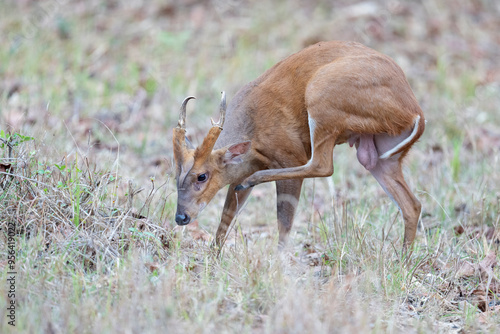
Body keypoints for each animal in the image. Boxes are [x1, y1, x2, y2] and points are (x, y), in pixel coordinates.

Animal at [171, 40, 422, 250]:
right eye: (176, 175)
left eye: (202, 176)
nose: (181, 217)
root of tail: (414, 111)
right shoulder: (238, 173)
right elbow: (226, 217)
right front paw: (214, 258)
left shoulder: (288, 154)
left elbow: (284, 221)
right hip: (380, 153)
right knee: (412, 204)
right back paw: (402, 261)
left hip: (322, 97)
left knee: (322, 165)